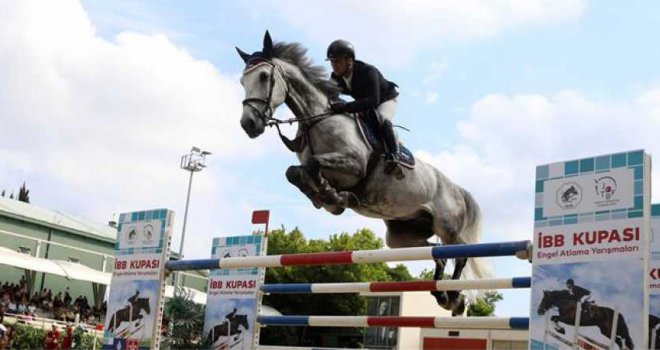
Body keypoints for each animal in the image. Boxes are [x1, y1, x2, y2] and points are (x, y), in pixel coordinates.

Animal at [237, 32, 490, 316]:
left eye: (263, 77)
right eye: (243, 81)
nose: (249, 124)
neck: (318, 120)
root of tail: (456, 188)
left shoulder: (355, 166)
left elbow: (313, 165)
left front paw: (334, 198)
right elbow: (294, 173)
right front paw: (327, 198)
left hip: (446, 226)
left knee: (460, 251)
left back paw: (454, 298)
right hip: (401, 236)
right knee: (437, 252)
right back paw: (443, 294)